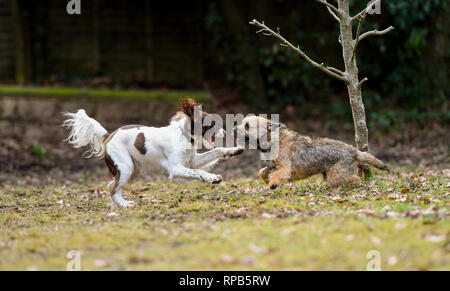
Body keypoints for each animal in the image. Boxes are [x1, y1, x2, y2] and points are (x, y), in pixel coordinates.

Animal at [64, 99, 243, 209]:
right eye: (212, 124)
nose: (225, 132)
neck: (183, 136)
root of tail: (108, 135)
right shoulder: (176, 169)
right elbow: (198, 171)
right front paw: (212, 178)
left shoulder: (192, 161)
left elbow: (216, 151)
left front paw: (234, 150)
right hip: (126, 167)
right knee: (113, 188)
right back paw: (125, 205)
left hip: (133, 170)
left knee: (110, 186)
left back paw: (120, 204)